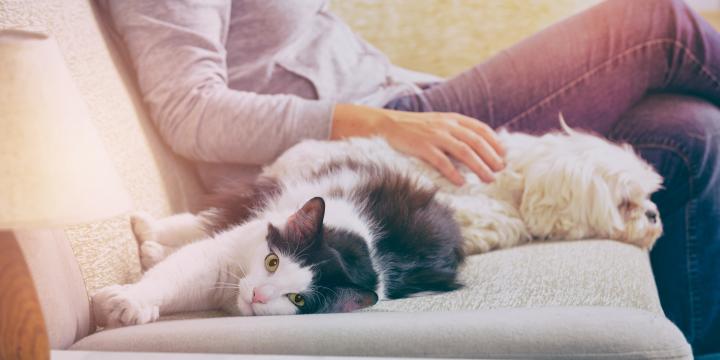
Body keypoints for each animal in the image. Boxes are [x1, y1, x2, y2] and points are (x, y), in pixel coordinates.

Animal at [93, 159, 464, 328]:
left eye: (297, 299)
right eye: (272, 262)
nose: (258, 295)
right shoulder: (220, 254)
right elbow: (172, 274)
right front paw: (130, 300)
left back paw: (151, 249)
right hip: (276, 194)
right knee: (204, 221)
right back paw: (146, 229)